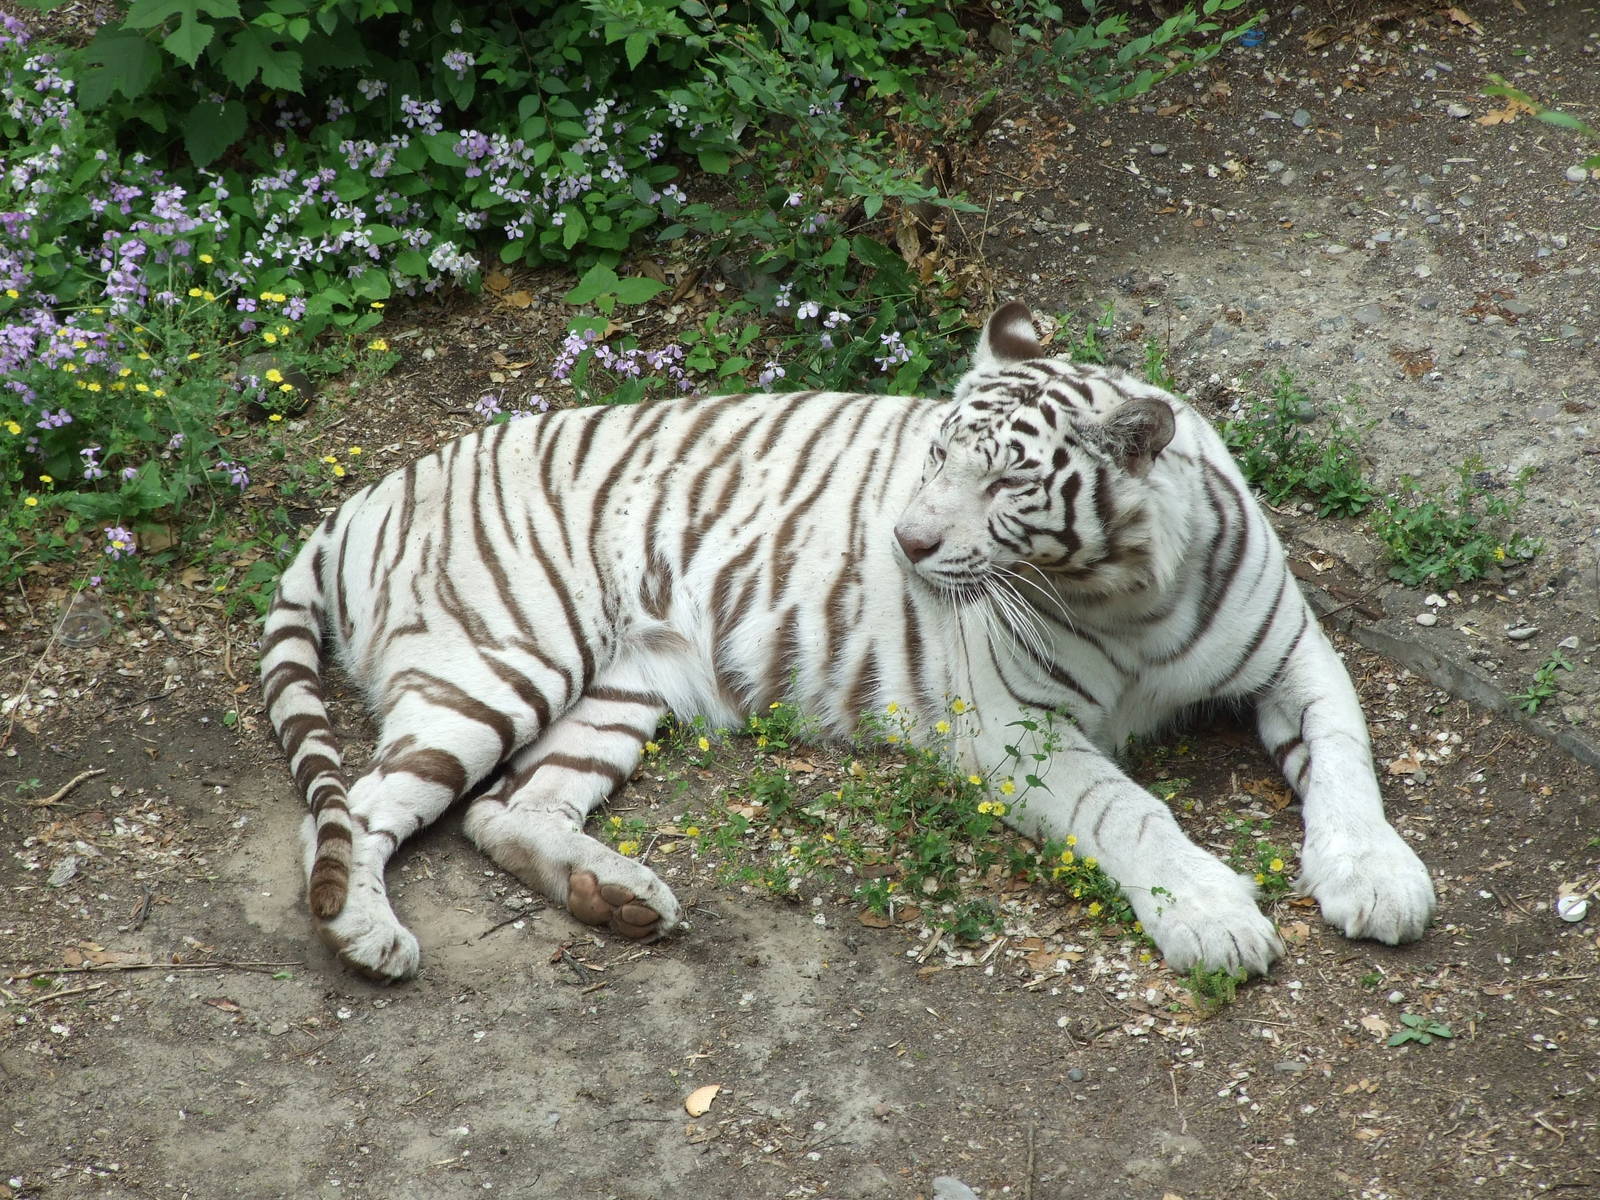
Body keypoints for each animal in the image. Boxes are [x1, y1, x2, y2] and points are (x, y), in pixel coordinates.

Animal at [259, 301, 1436, 982]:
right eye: (936, 453)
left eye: (1007, 482)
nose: (906, 541)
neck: (1126, 588)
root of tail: (364, 494)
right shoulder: (1015, 732)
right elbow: (1129, 812)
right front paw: (1213, 919)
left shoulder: (1296, 656)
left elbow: (1346, 761)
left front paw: (1376, 879)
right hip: (506, 661)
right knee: (354, 813)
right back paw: (365, 935)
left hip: (621, 690)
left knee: (508, 810)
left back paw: (618, 899)